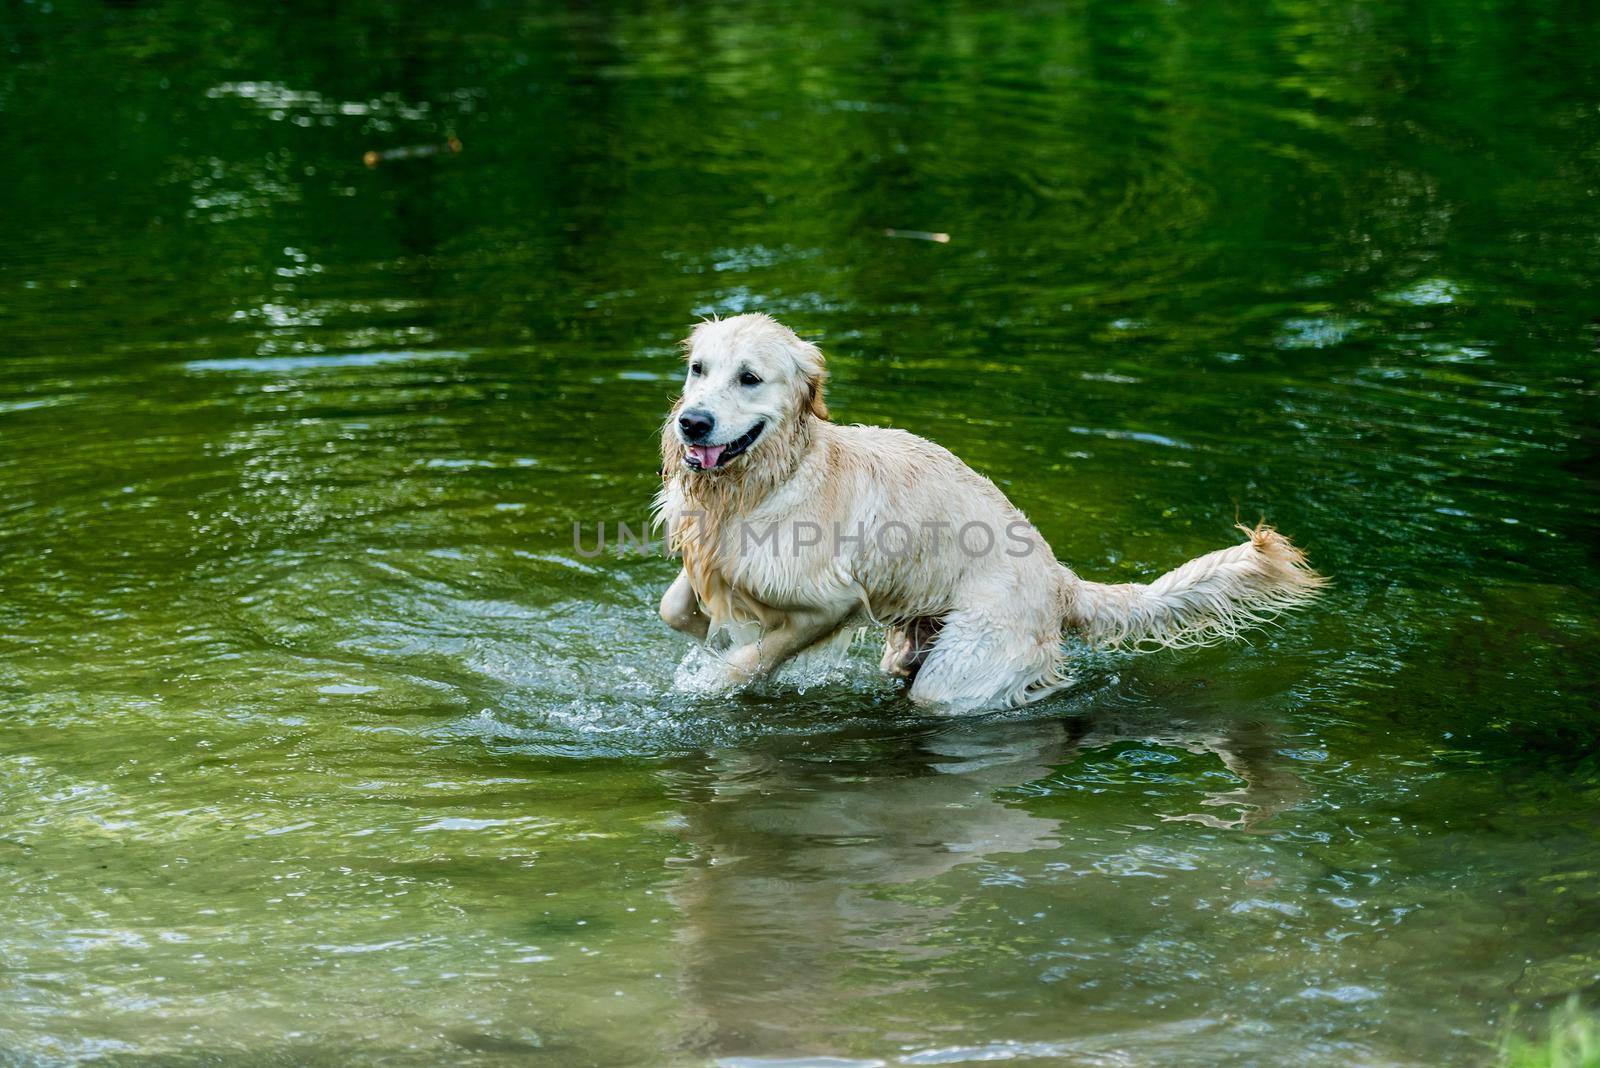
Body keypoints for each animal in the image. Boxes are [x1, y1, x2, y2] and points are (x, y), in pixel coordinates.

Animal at [649, 313, 1324, 713]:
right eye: (697, 370)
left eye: (750, 378)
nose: (692, 422)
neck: (767, 480)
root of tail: (1060, 581)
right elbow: (674, 606)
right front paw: (704, 634)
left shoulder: (831, 603)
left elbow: (755, 657)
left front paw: (712, 680)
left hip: (961, 666)